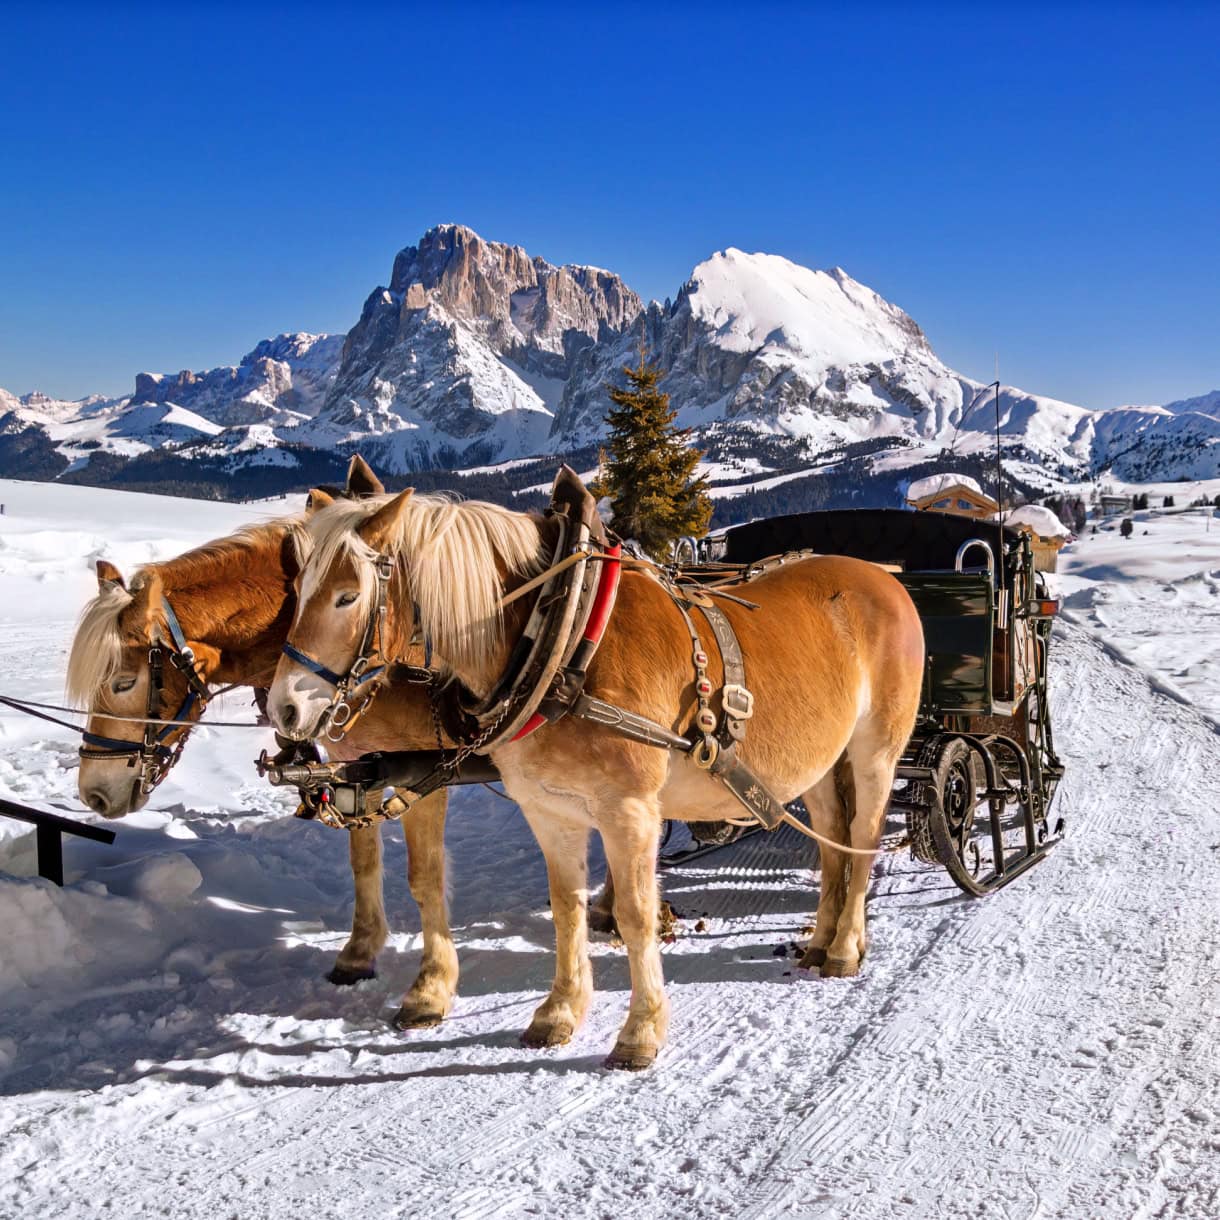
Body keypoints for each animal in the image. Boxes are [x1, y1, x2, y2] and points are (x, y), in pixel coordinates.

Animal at [66, 458, 460, 1028]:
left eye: (122, 683)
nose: (93, 792)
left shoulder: (428, 767)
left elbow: (425, 876)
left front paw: (431, 988)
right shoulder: (356, 765)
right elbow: (363, 861)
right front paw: (358, 953)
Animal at [267, 475, 925, 1069]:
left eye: (348, 596)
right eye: (296, 589)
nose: (285, 709)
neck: (562, 642)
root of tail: (883, 578)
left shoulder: (628, 809)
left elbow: (634, 916)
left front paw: (641, 1031)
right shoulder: (549, 809)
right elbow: (567, 909)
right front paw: (560, 1012)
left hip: (875, 749)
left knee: (863, 836)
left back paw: (844, 947)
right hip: (817, 761)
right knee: (832, 839)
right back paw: (820, 939)